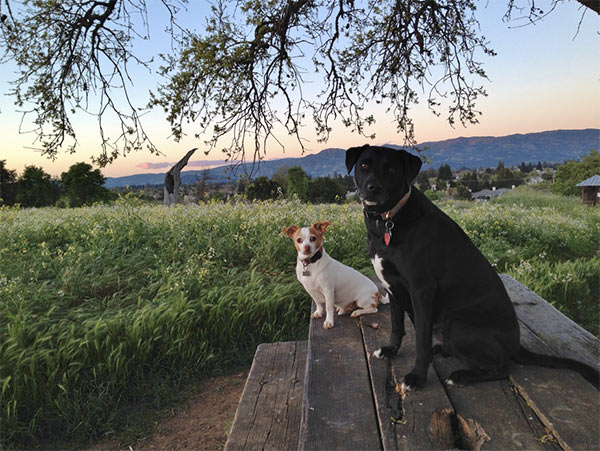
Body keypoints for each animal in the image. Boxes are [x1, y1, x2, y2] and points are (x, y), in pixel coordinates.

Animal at [344, 146, 596, 392]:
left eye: (390, 169)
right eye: (364, 165)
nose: (372, 188)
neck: (388, 220)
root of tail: (516, 345)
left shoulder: (421, 290)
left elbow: (421, 341)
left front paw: (417, 377)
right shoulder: (392, 285)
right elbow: (397, 326)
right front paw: (390, 350)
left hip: (456, 323)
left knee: (501, 368)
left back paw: (460, 376)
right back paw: (443, 351)